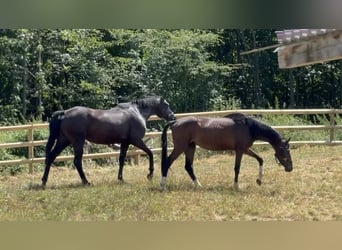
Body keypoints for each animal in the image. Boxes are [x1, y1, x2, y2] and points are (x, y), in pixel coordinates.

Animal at [42, 96, 175, 187]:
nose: (173, 116)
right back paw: (86, 182)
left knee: (51, 157)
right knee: (77, 161)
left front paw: (121, 179)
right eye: (167, 104)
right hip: (77, 142)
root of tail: (64, 113)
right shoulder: (136, 140)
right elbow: (150, 153)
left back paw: (44, 182)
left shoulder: (125, 142)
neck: (137, 112)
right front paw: (150, 175)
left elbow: (121, 160)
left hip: (63, 141)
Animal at [160, 113, 292, 189]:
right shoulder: (240, 150)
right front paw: (236, 186)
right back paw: (162, 185)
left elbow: (260, 159)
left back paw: (199, 185)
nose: (290, 168)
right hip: (180, 147)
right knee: (167, 162)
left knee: (188, 167)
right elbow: (237, 168)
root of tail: (175, 122)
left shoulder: (245, 149)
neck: (249, 127)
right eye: (286, 152)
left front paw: (259, 180)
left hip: (190, 147)